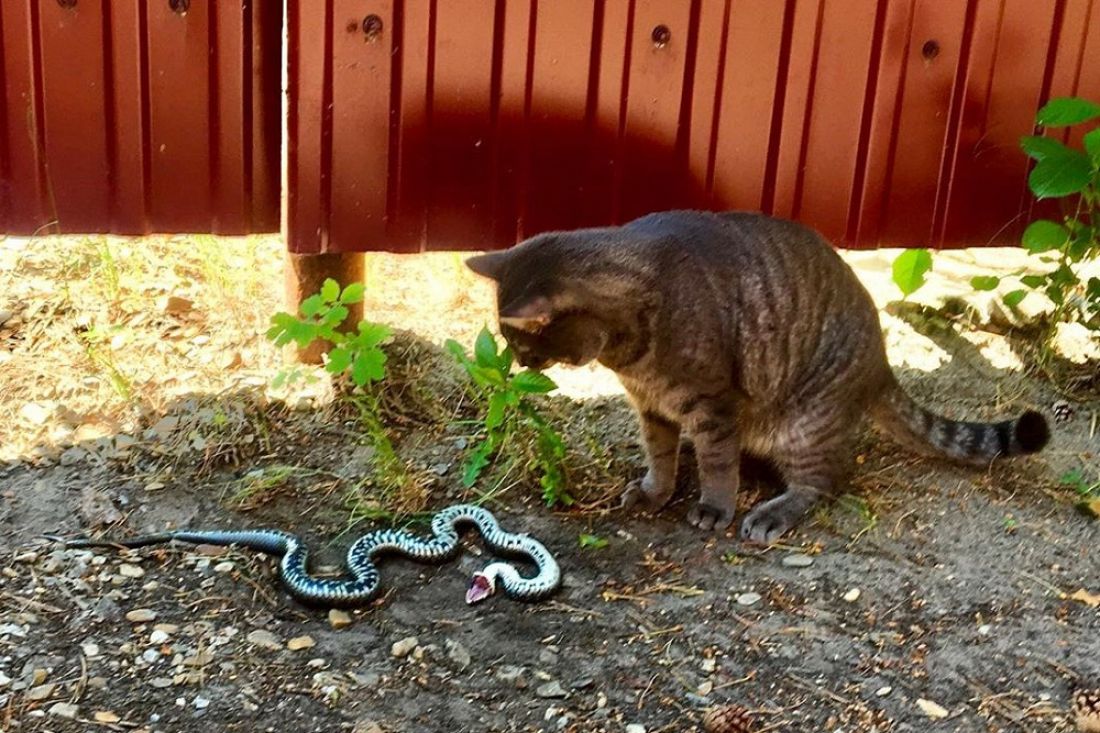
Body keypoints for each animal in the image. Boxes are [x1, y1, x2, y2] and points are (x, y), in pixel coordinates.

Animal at [464, 208, 1047, 539]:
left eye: (521, 343)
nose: (519, 362)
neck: (628, 349)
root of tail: (881, 363)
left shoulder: (713, 404)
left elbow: (718, 464)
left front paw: (714, 506)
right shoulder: (652, 407)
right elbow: (661, 456)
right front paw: (657, 490)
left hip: (807, 423)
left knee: (825, 481)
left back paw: (772, 511)